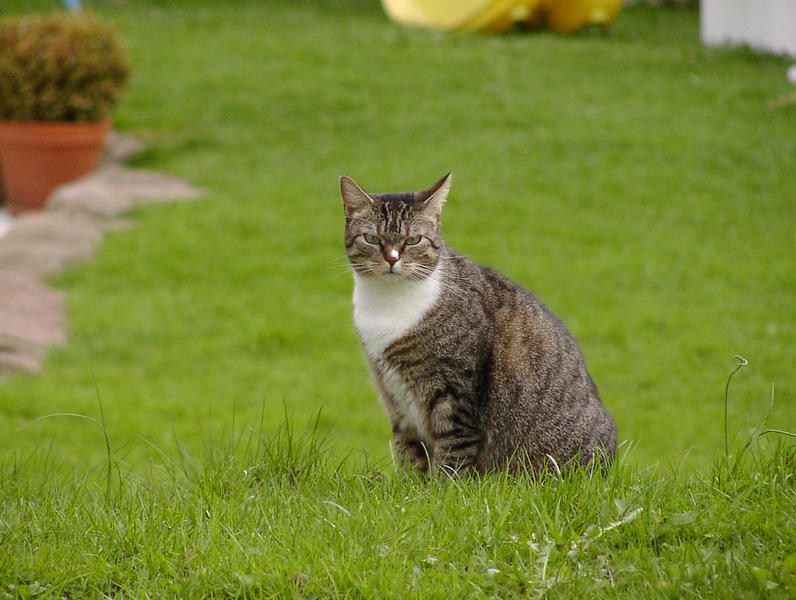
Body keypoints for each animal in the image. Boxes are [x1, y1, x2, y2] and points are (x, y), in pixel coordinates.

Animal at [338, 173, 620, 478]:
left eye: (413, 240)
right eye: (371, 238)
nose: (392, 258)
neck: (388, 302)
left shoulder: (456, 394)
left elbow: (452, 455)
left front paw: (441, 488)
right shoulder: (395, 397)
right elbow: (410, 454)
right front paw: (413, 486)